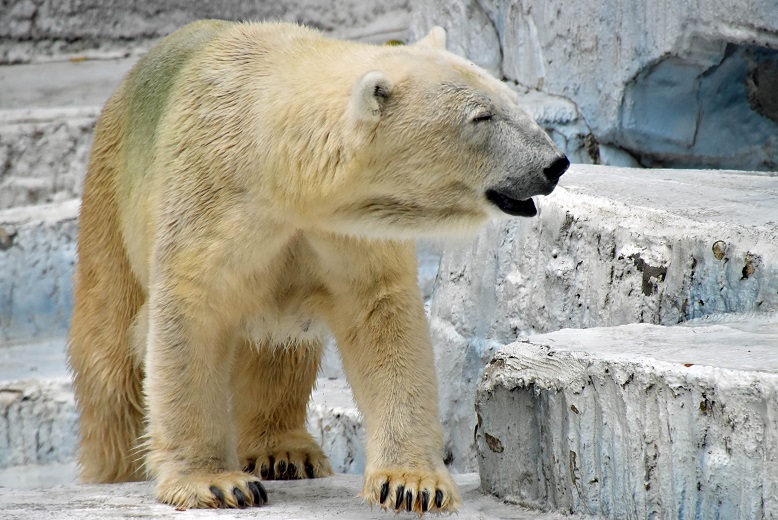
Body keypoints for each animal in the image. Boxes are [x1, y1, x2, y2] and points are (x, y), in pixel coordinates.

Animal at [68, 18, 564, 512]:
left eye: (510, 99)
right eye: (481, 117)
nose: (555, 163)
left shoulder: (346, 233)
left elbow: (382, 318)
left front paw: (411, 484)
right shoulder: (210, 202)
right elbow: (191, 313)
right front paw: (216, 483)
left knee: (279, 352)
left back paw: (284, 452)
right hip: (110, 198)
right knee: (108, 354)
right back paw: (114, 468)